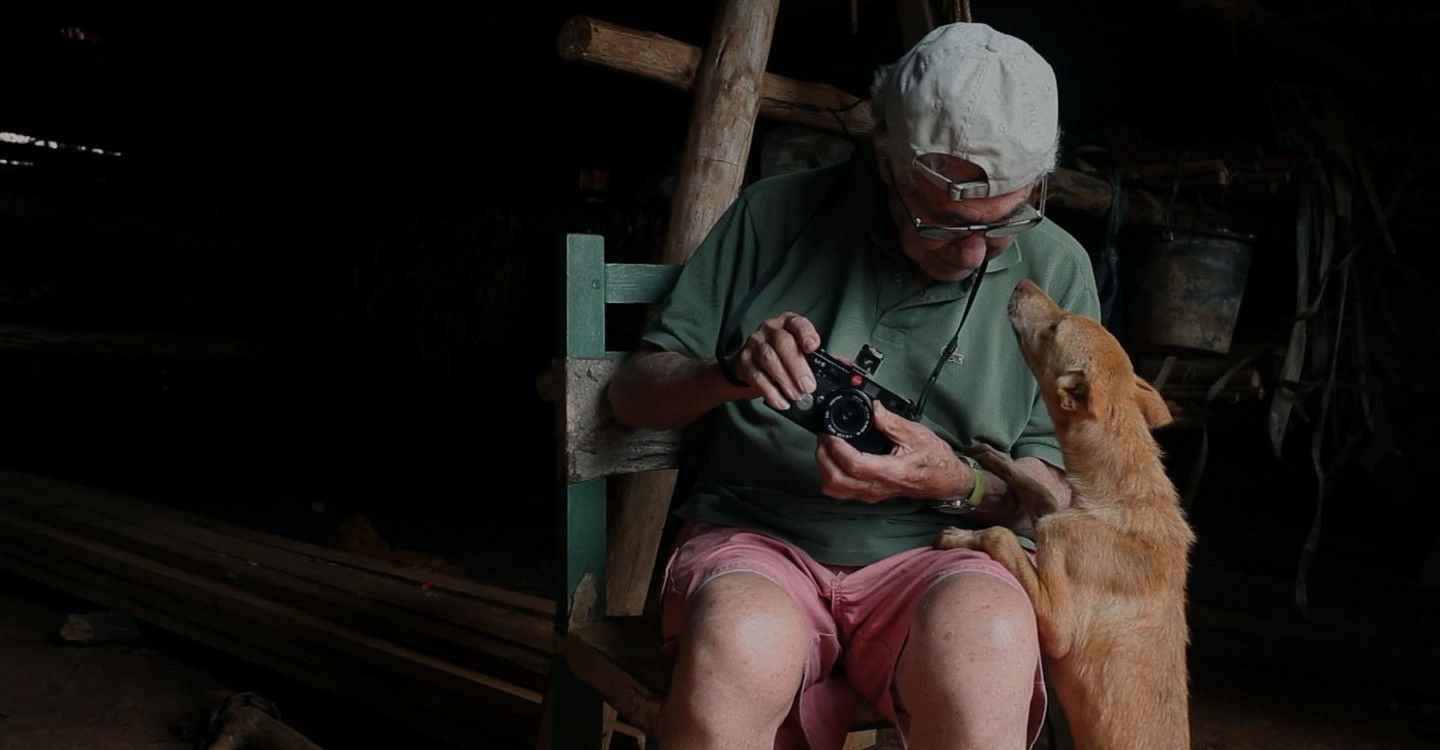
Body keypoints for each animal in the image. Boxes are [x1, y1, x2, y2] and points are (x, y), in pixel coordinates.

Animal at [933, 277, 1192, 742]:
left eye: (1055, 327)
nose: (1021, 282)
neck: (1120, 495)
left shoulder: (1057, 629)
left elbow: (1001, 535)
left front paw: (960, 536)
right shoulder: (1054, 512)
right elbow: (1035, 486)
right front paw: (993, 457)